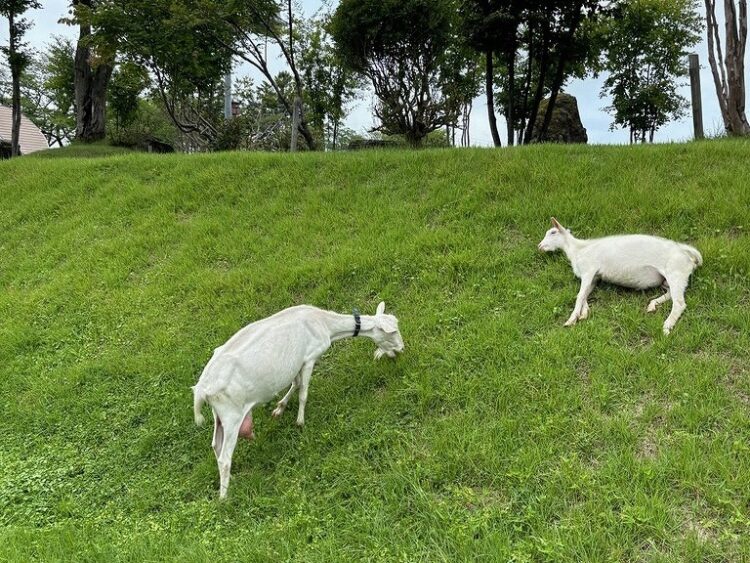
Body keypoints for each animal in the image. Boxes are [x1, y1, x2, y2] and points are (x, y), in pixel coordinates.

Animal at [194, 302, 406, 500]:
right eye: (393, 332)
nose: (402, 349)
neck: (325, 324)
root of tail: (202, 390)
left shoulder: (297, 363)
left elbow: (295, 384)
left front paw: (279, 408)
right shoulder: (310, 357)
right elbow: (303, 391)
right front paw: (300, 421)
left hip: (220, 415)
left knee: (216, 446)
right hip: (232, 415)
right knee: (225, 457)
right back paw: (224, 498)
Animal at [540, 218, 704, 334]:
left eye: (553, 232)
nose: (539, 246)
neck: (577, 249)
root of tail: (686, 252)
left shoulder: (589, 270)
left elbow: (580, 295)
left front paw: (571, 319)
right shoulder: (594, 277)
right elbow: (585, 294)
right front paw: (583, 313)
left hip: (676, 273)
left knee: (679, 303)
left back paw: (666, 327)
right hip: (669, 279)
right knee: (670, 294)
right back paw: (653, 305)